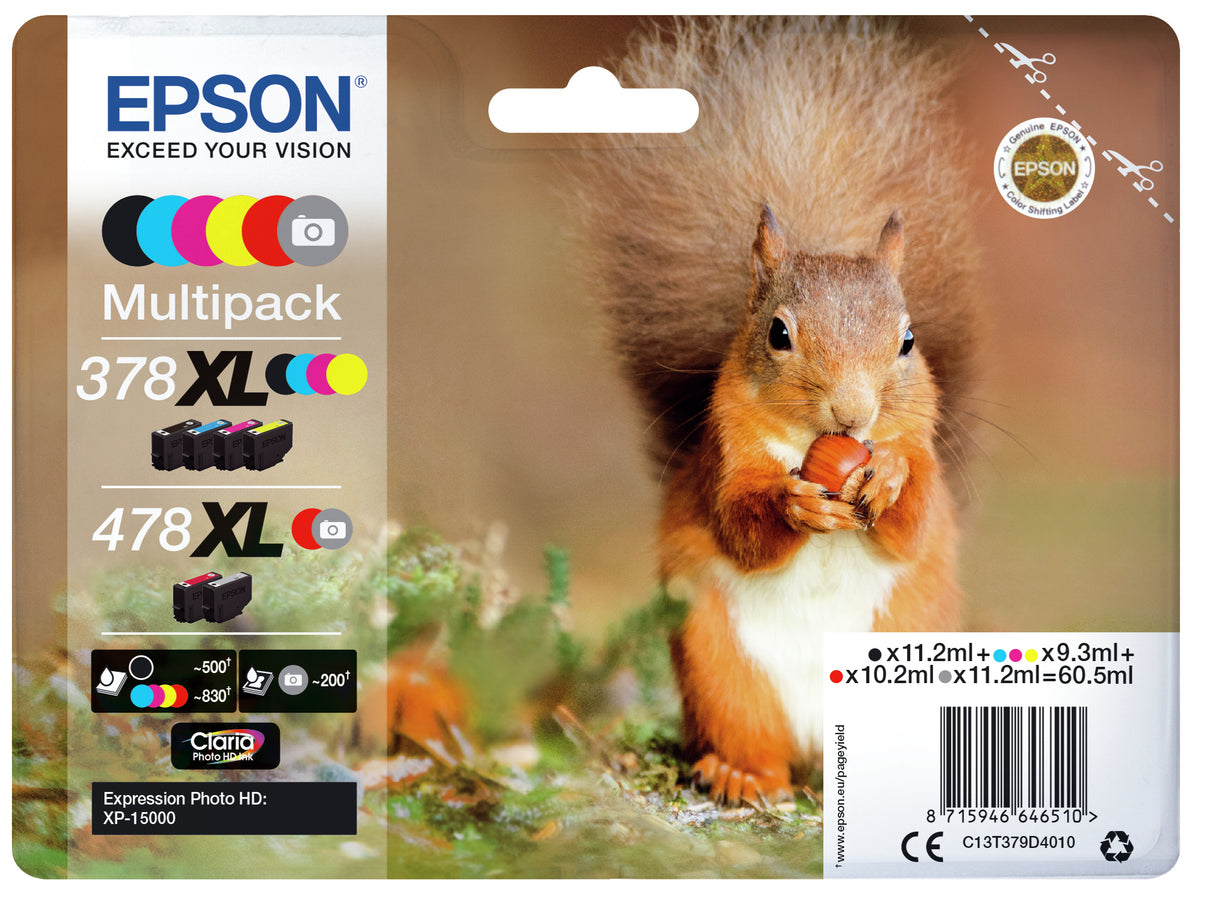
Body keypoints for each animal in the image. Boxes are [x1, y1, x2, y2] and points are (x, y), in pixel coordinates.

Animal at [566, 17, 982, 804]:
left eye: (908, 341)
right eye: (778, 334)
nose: (854, 412)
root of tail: (822, 751)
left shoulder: (925, 452)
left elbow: (912, 525)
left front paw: (887, 480)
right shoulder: (724, 455)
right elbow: (738, 523)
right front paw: (795, 505)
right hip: (722, 671)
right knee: (754, 741)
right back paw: (740, 774)